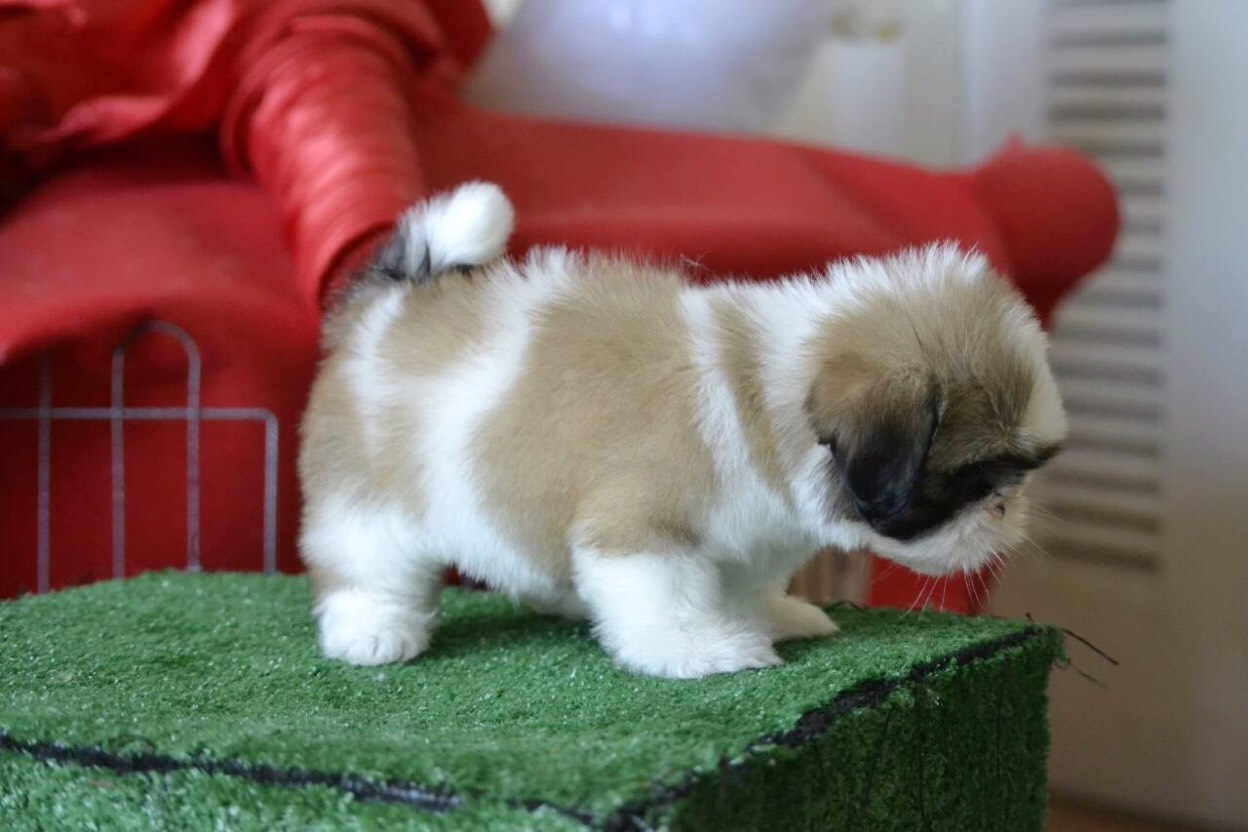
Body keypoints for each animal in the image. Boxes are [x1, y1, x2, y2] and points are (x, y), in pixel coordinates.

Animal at [298, 182, 1066, 679]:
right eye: (972, 478)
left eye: (1019, 474)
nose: (1009, 510)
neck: (758, 391)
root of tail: (387, 305)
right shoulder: (641, 526)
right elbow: (662, 594)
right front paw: (701, 650)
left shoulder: (758, 530)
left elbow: (746, 580)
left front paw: (770, 614)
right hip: (369, 498)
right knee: (367, 561)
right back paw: (374, 627)